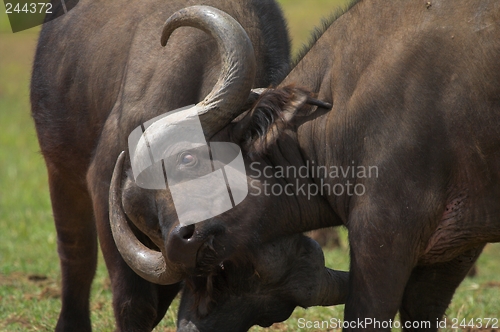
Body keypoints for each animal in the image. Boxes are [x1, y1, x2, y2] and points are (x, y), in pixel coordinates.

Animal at [31, 0, 292, 330]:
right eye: (187, 158)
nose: (189, 240)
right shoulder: (105, 186)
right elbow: (134, 302)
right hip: (60, 171)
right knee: (76, 254)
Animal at [108, 1, 500, 330]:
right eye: (149, 219)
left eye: (187, 159)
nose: (180, 243)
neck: (339, 111)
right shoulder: (453, 250)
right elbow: (421, 310)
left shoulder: (385, 233)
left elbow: (365, 314)